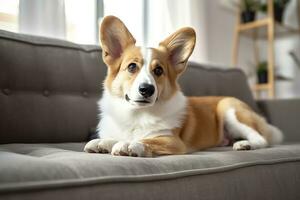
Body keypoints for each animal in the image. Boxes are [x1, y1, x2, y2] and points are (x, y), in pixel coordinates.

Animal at [83, 15, 282, 156]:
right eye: (132, 67)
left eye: (159, 71)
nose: (147, 90)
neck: (136, 114)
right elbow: (113, 138)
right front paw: (102, 142)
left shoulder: (172, 141)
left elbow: (147, 141)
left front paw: (128, 144)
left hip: (229, 109)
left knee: (262, 139)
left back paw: (244, 144)